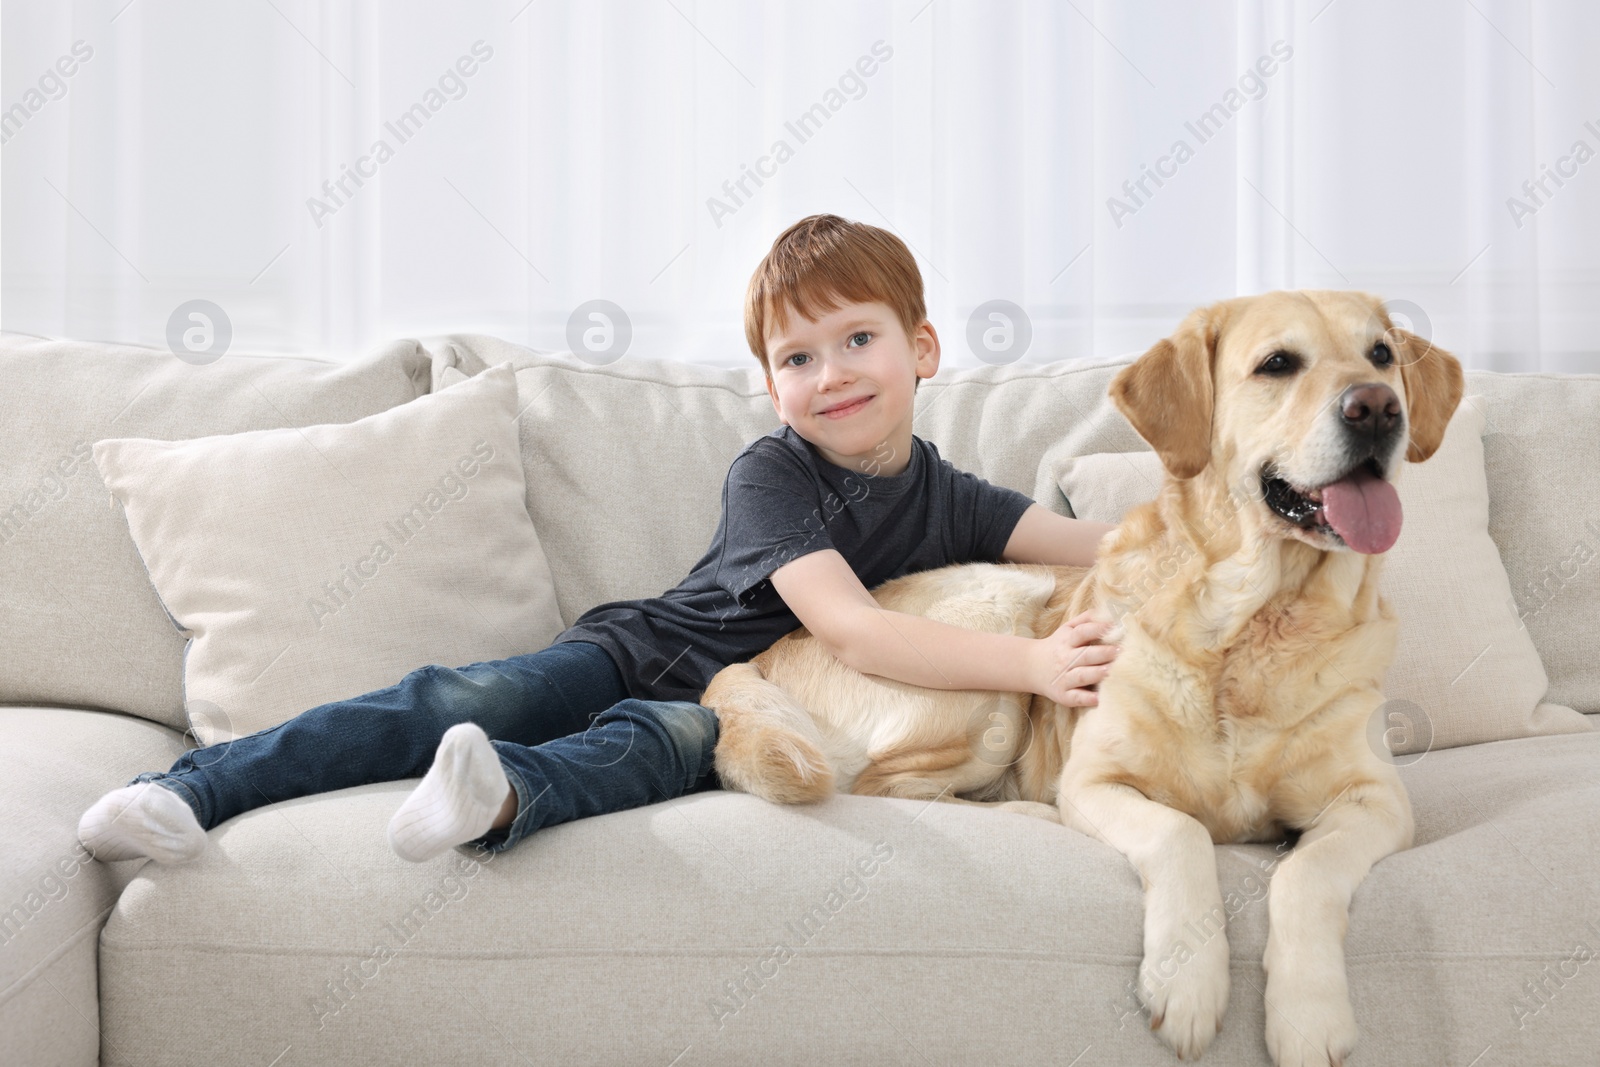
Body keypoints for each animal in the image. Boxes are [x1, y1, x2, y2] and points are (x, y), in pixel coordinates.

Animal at [700, 289, 1465, 1067]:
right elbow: (1182, 833)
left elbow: (1307, 870)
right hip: (994, 632)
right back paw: (1029, 812)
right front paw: (1187, 984)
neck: (1256, 621)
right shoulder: (1101, 781)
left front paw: (1309, 1014)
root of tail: (762, 656)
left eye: (1382, 356)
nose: (1377, 408)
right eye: (1278, 364)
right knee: (886, 788)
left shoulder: (1376, 799)